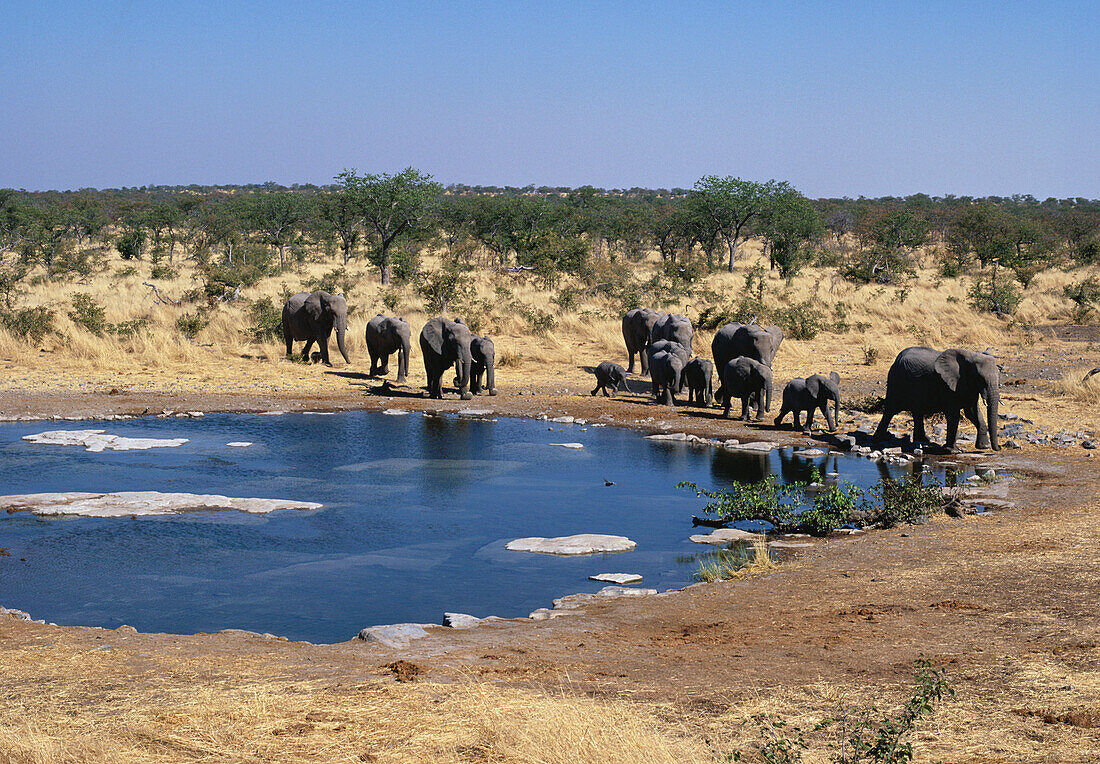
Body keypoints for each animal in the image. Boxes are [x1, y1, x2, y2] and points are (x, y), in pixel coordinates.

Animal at [871, 347, 1003, 450]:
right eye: (980, 378)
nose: (999, 448)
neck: (970, 358)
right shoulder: (946, 385)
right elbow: (953, 415)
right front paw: (952, 450)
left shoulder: (968, 386)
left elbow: (972, 413)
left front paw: (983, 447)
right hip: (896, 380)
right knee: (890, 410)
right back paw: (877, 440)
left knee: (917, 412)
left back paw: (924, 440)